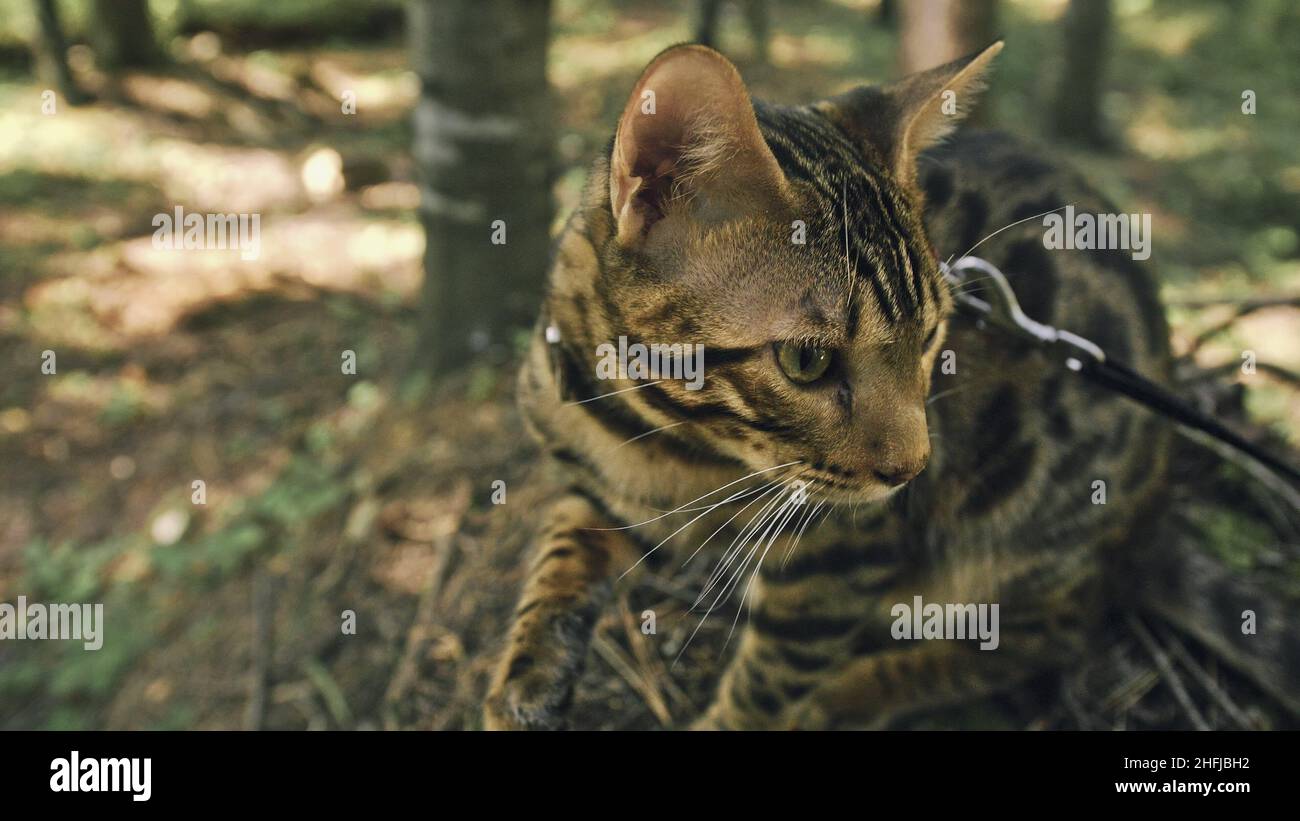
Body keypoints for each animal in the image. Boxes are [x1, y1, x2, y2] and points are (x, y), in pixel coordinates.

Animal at [483, 43, 1175, 732]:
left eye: (930, 335)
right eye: (806, 361)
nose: (912, 469)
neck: (658, 432)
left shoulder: (840, 556)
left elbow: (771, 681)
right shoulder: (603, 490)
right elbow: (560, 556)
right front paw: (526, 677)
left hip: (1022, 524)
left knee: (1043, 638)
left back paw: (849, 696)